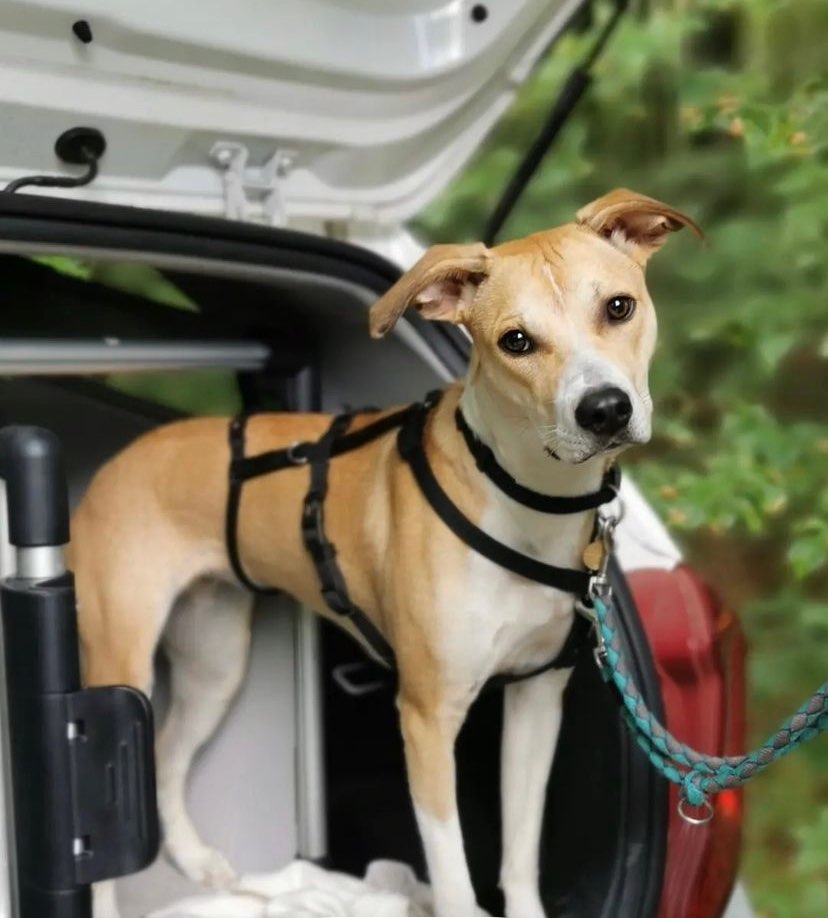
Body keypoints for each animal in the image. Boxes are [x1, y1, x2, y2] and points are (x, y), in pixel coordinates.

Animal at [71, 189, 700, 918]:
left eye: (619, 307)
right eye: (516, 341)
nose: (603, 410)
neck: (525, 501)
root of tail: (118, 462)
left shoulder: (537, 700)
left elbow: (519, 857)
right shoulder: (427, 718)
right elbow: (452, 874)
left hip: (212, 662)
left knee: (167, 761)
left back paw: (196, 859)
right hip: (121, 666)